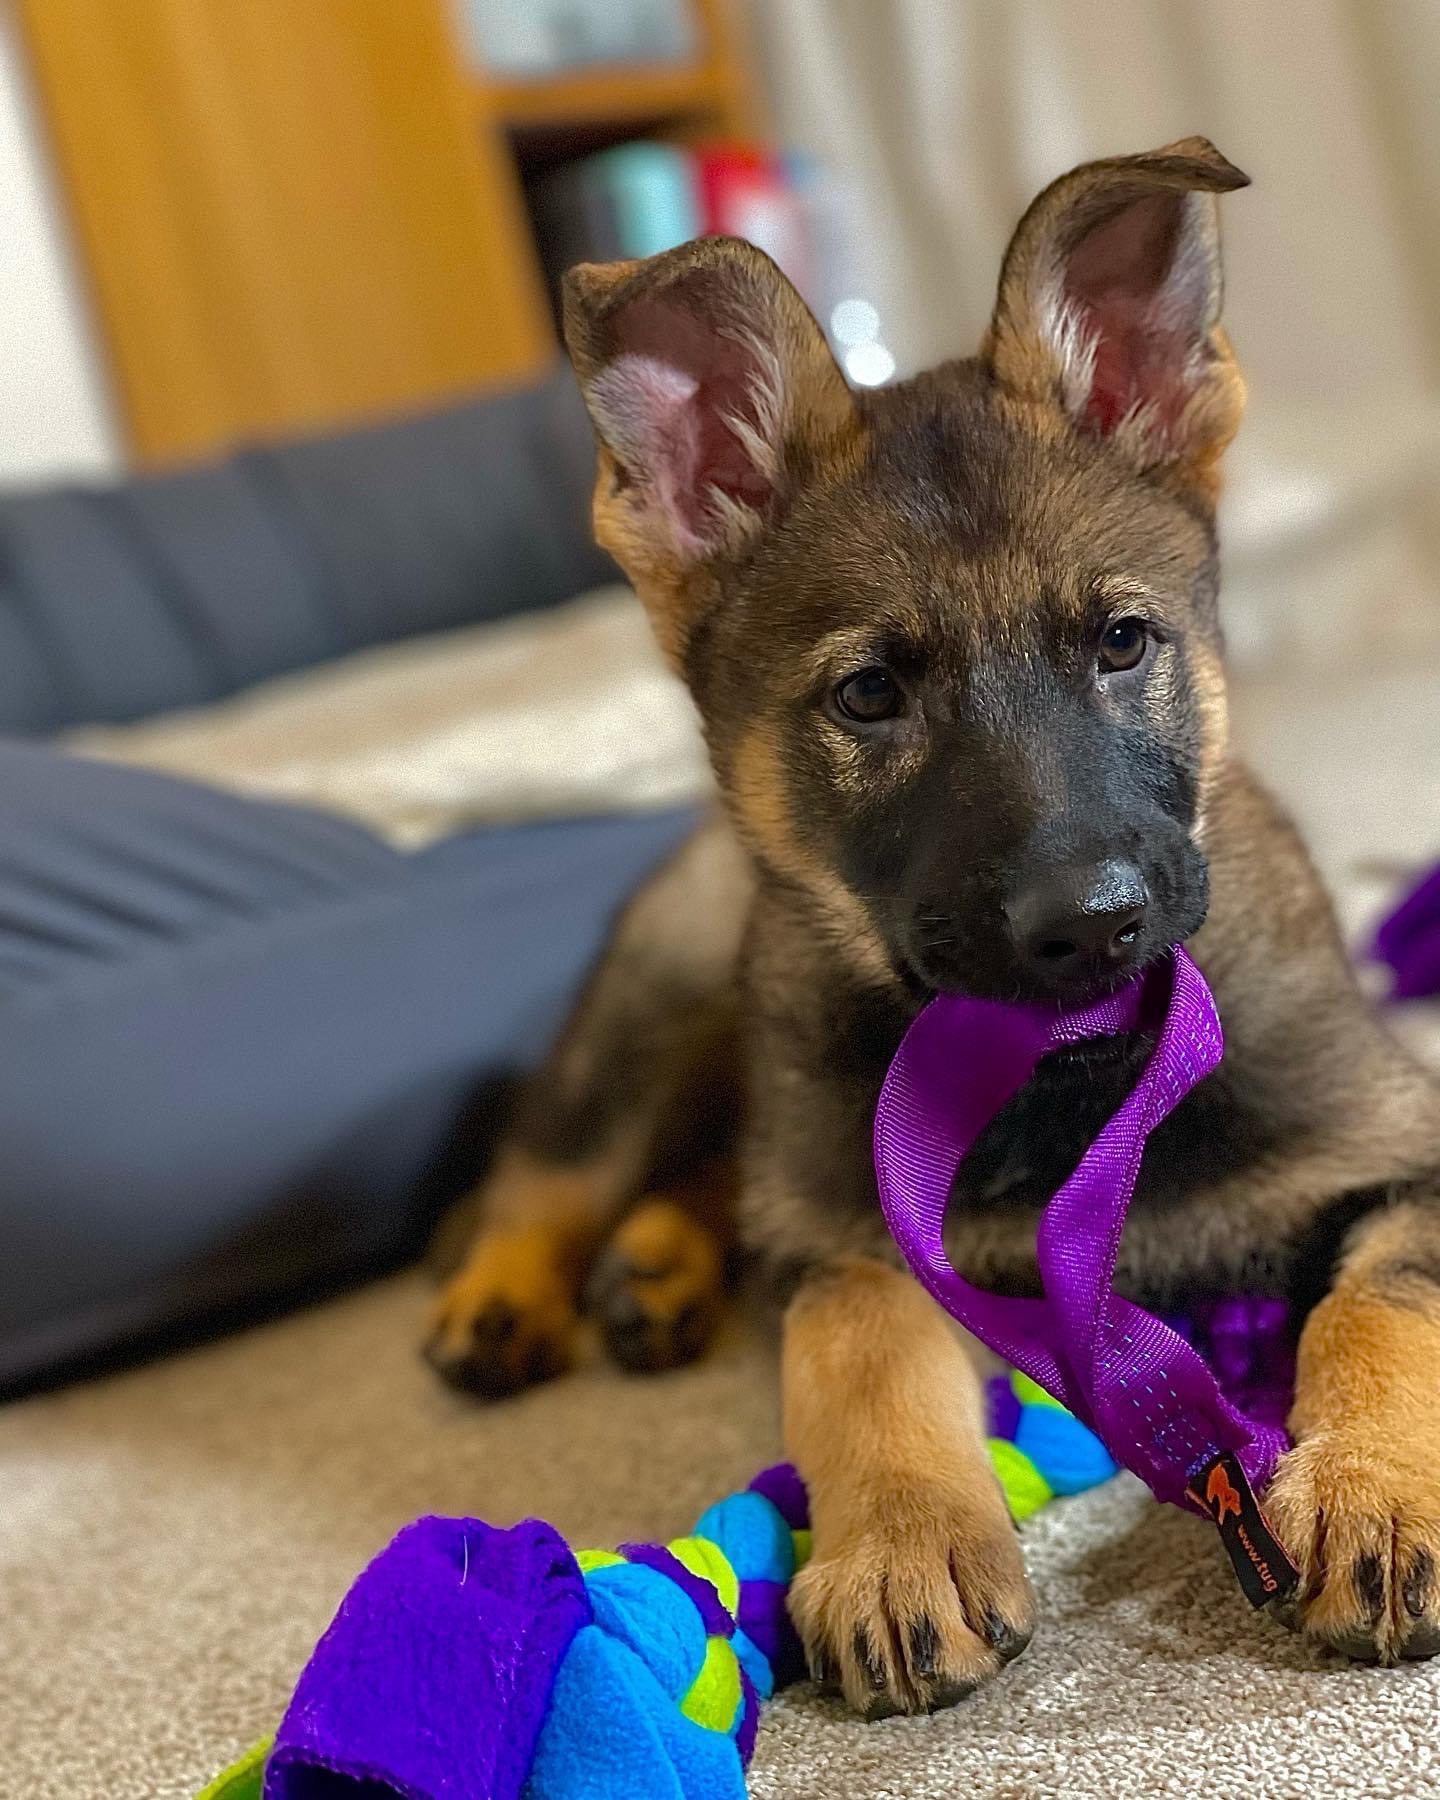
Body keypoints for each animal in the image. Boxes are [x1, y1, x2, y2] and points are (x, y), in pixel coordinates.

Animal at [428, 136, 1440, 1699]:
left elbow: (1382, 1301)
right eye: (868, 697)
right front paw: (903, 1541)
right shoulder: (857, 1233)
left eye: (1122, 642)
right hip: (663, 999)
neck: (1063, 1079)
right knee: (560, 1163)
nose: (1091, 926)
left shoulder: (1397, 1152)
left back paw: (657, 1268)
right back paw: (509, 1295)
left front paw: (1376, 1490)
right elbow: (859, 1336)